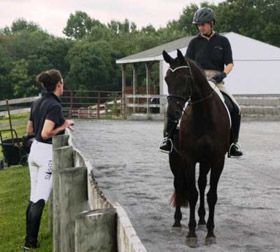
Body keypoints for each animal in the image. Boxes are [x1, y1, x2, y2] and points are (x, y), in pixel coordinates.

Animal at [163, 49, 231, 246]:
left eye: (186, 78)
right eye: (166, 79)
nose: (173, 114)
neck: (204, 115)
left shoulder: (217, 160)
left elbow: (211, 195)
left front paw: (210, 233)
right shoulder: (189, 158)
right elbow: (192, 194)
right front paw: (191, 234)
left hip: (205, 161)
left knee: (201, 185)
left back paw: (202, 221)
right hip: (175, 158)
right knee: (178, 184)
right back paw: (177, 223)